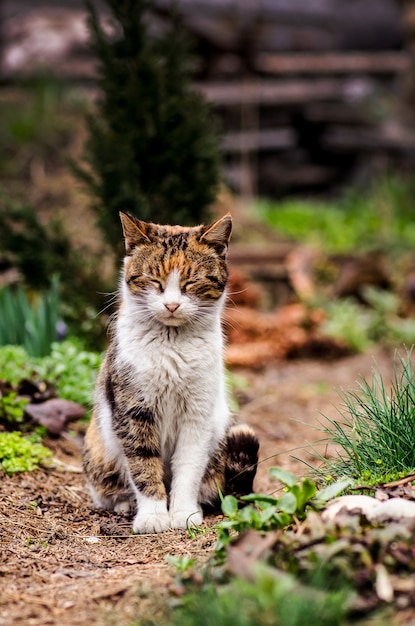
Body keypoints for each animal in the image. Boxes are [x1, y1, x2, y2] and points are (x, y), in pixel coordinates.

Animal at [83, 211, 260, 532]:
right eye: (154, 280)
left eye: (192, 281)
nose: (172, 304)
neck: (171, 344)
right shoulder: (133, 409)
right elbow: (143, 464)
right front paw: (153, 516)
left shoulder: (198, 414)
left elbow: (188, 467)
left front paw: (183, 513)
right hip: (98, 448)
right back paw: (126, 504)